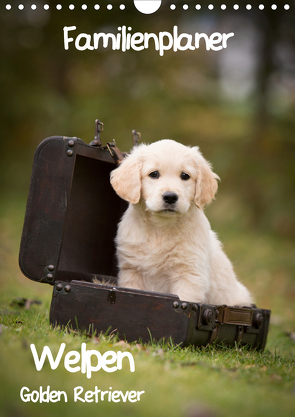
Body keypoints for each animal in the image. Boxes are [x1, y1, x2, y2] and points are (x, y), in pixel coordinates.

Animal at [110, 140, 253, 306]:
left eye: (185, 176)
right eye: (154, 174)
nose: (170, 197)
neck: (161, 228)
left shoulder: (190, 276)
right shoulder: (132, 271)